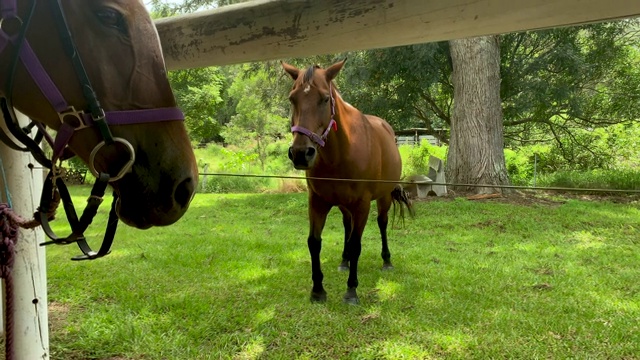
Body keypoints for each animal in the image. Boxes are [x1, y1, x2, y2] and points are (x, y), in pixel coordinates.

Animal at [282, 59, 412, 304]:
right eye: (292, 98)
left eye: (325, 98)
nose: (301, 153)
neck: (339, 154)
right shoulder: (317, 202)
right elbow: (314, 242)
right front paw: (318, 290)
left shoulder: (362, 205)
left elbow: (356, 244)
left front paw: (351, 290)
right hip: (343, 205)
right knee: (347, 225)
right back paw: (344, 261)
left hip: (383, 198)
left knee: (381, 223)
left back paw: (386, 260)